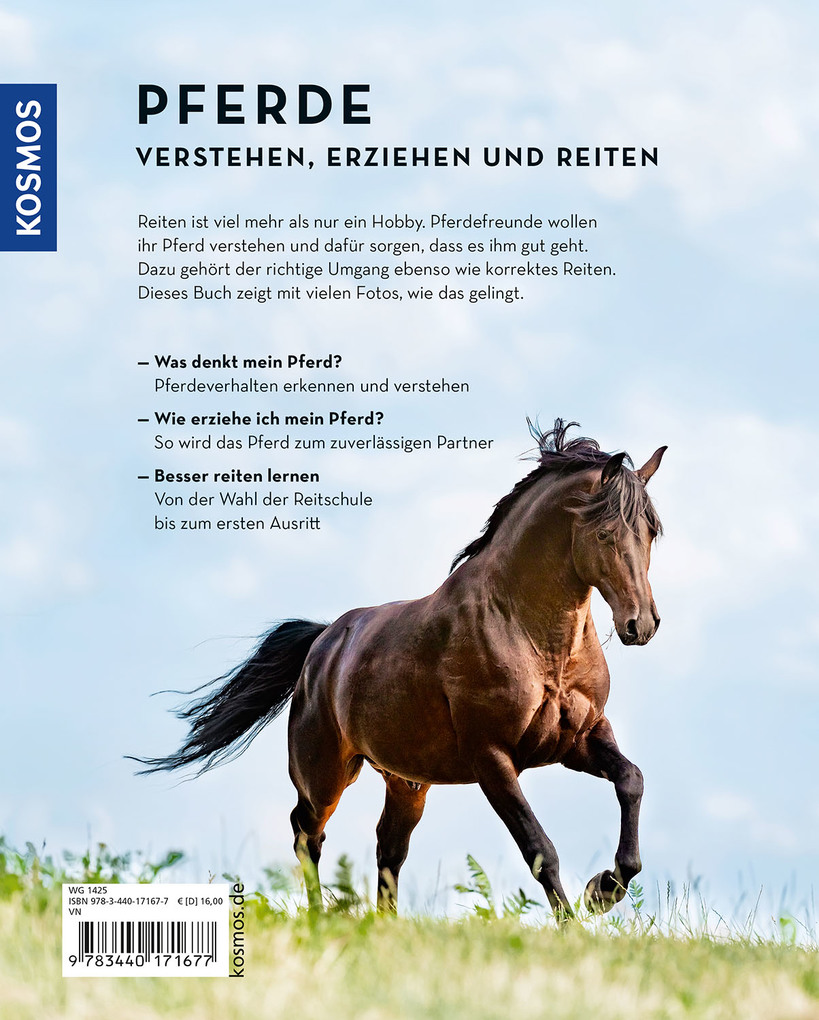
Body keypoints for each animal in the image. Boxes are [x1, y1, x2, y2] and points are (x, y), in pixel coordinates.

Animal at [135, 419, 666, 918]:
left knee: (388, 848)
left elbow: (632, 781)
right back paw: (318, 918)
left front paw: (603, 891)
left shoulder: (580, 738)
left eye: (651, 532)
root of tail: (321, 647)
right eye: (605, 533)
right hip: (325, 774)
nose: (641, 623)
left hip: (406, 783)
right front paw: (576, 919)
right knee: (308, 834)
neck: (535, 641)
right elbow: (540, 850)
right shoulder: (493, 759)